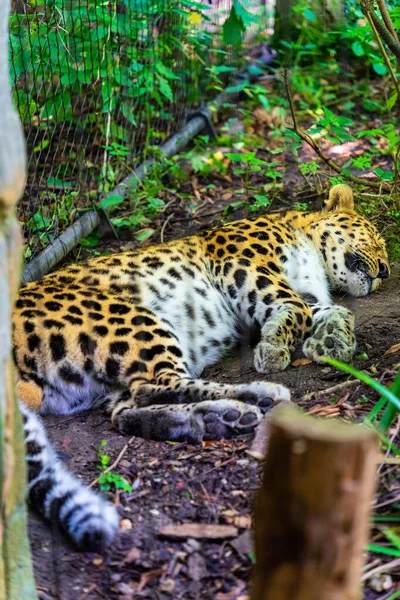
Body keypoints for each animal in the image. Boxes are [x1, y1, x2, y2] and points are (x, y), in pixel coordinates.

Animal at [14, 183, 390, 548]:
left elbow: (333, 310)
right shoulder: (244, 264)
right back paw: (257, 395)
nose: (385, 271)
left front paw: (333, 343)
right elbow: (297, 308)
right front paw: (273, 348)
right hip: (130, 317)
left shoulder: (299, 296)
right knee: (158, 383)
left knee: (128, 408)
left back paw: (216, 419)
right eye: (375, 237)